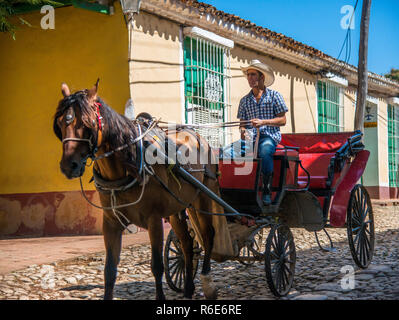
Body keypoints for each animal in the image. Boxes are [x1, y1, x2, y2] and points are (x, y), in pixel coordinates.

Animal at [52, 80, 222, 300]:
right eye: (60, 124)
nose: (69, 166)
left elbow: (157, 266)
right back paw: (188, 288)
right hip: (177, 208)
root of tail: (199, 136)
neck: (129, 165)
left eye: (87, 124)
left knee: (208, 235)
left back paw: (207, 282)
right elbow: (109, 270)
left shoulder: (154, 219)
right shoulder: (111, 222)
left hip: (203, 197)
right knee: (186, 244)